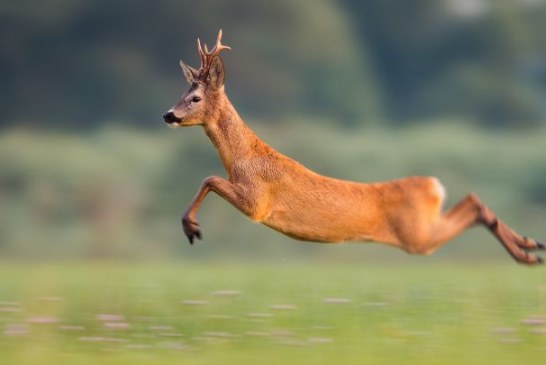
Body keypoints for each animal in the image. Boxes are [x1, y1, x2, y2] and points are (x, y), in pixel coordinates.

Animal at [160, 30, 540, 264]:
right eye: (181, 92)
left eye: (194, 98)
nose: (168, 114)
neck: (243, 157)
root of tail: (434, 186)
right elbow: (209, 178)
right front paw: (190, 226)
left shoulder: (257, 203)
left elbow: (209, 178)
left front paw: (191, 228)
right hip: (423, 228)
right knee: (474, 201)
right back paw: (531, 247)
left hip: (417, 235)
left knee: (473, 205)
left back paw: (528, 252)